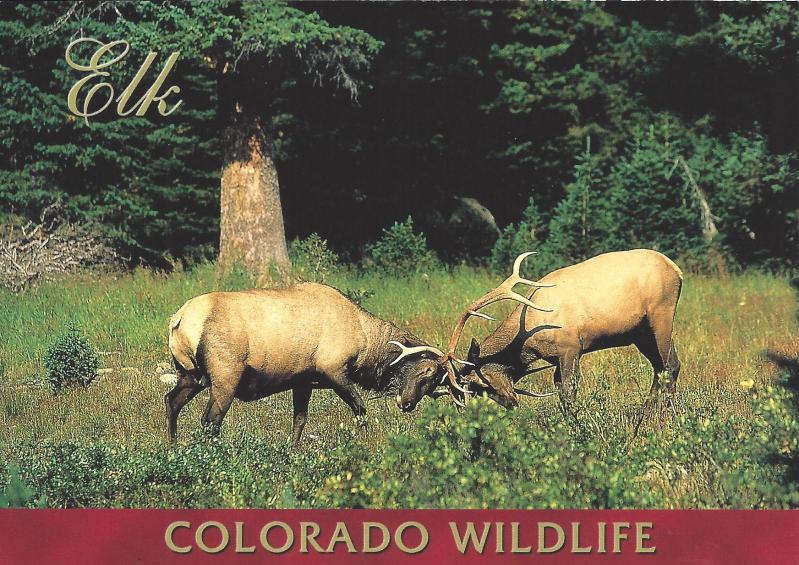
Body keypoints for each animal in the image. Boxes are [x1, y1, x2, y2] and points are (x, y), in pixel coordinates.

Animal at [164, 282, 466, 443]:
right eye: (427, 371)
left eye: (435, 383)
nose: (407, 403)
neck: (365, 342)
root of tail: (178, 320)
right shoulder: (333, 369)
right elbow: (361, 409)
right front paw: (366, 443)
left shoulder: (303, 380)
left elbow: (299, 421)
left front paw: (292, 451)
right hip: (225, 374)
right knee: (210, 419)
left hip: (191, 374)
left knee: (171, 400)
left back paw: (173, 446)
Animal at [396, 249, 683, 418]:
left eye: (477, 385)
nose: (512, 402)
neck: (529, 343)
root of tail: (677, 270)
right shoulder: (555, 358)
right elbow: (560, 390)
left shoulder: (571, 347)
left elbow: (569, 390)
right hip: (640, 332)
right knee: (661, 368)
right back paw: (646, 415)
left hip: (661, 314)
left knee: (670, 365)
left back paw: (664, 418)